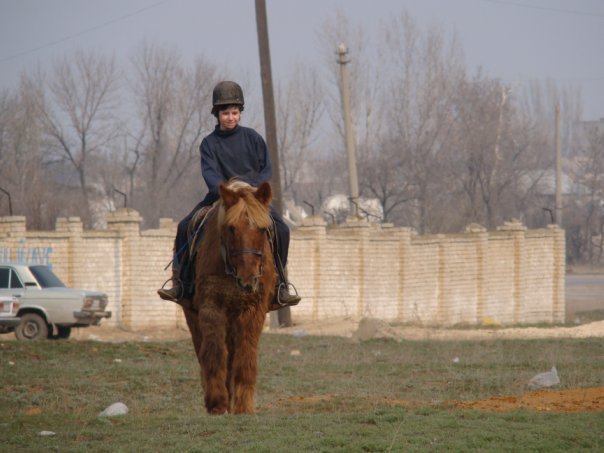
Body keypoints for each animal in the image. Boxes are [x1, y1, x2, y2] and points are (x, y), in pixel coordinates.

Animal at [183, 179, 278, 414]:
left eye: (262, 229)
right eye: (231, 228)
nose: (248, 279)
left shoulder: (253, 311)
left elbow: (245, 355)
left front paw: (243, 406)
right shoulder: (211, 309)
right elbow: (215, 353)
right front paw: (217, 402)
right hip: (193, 315)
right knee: (204, 351)